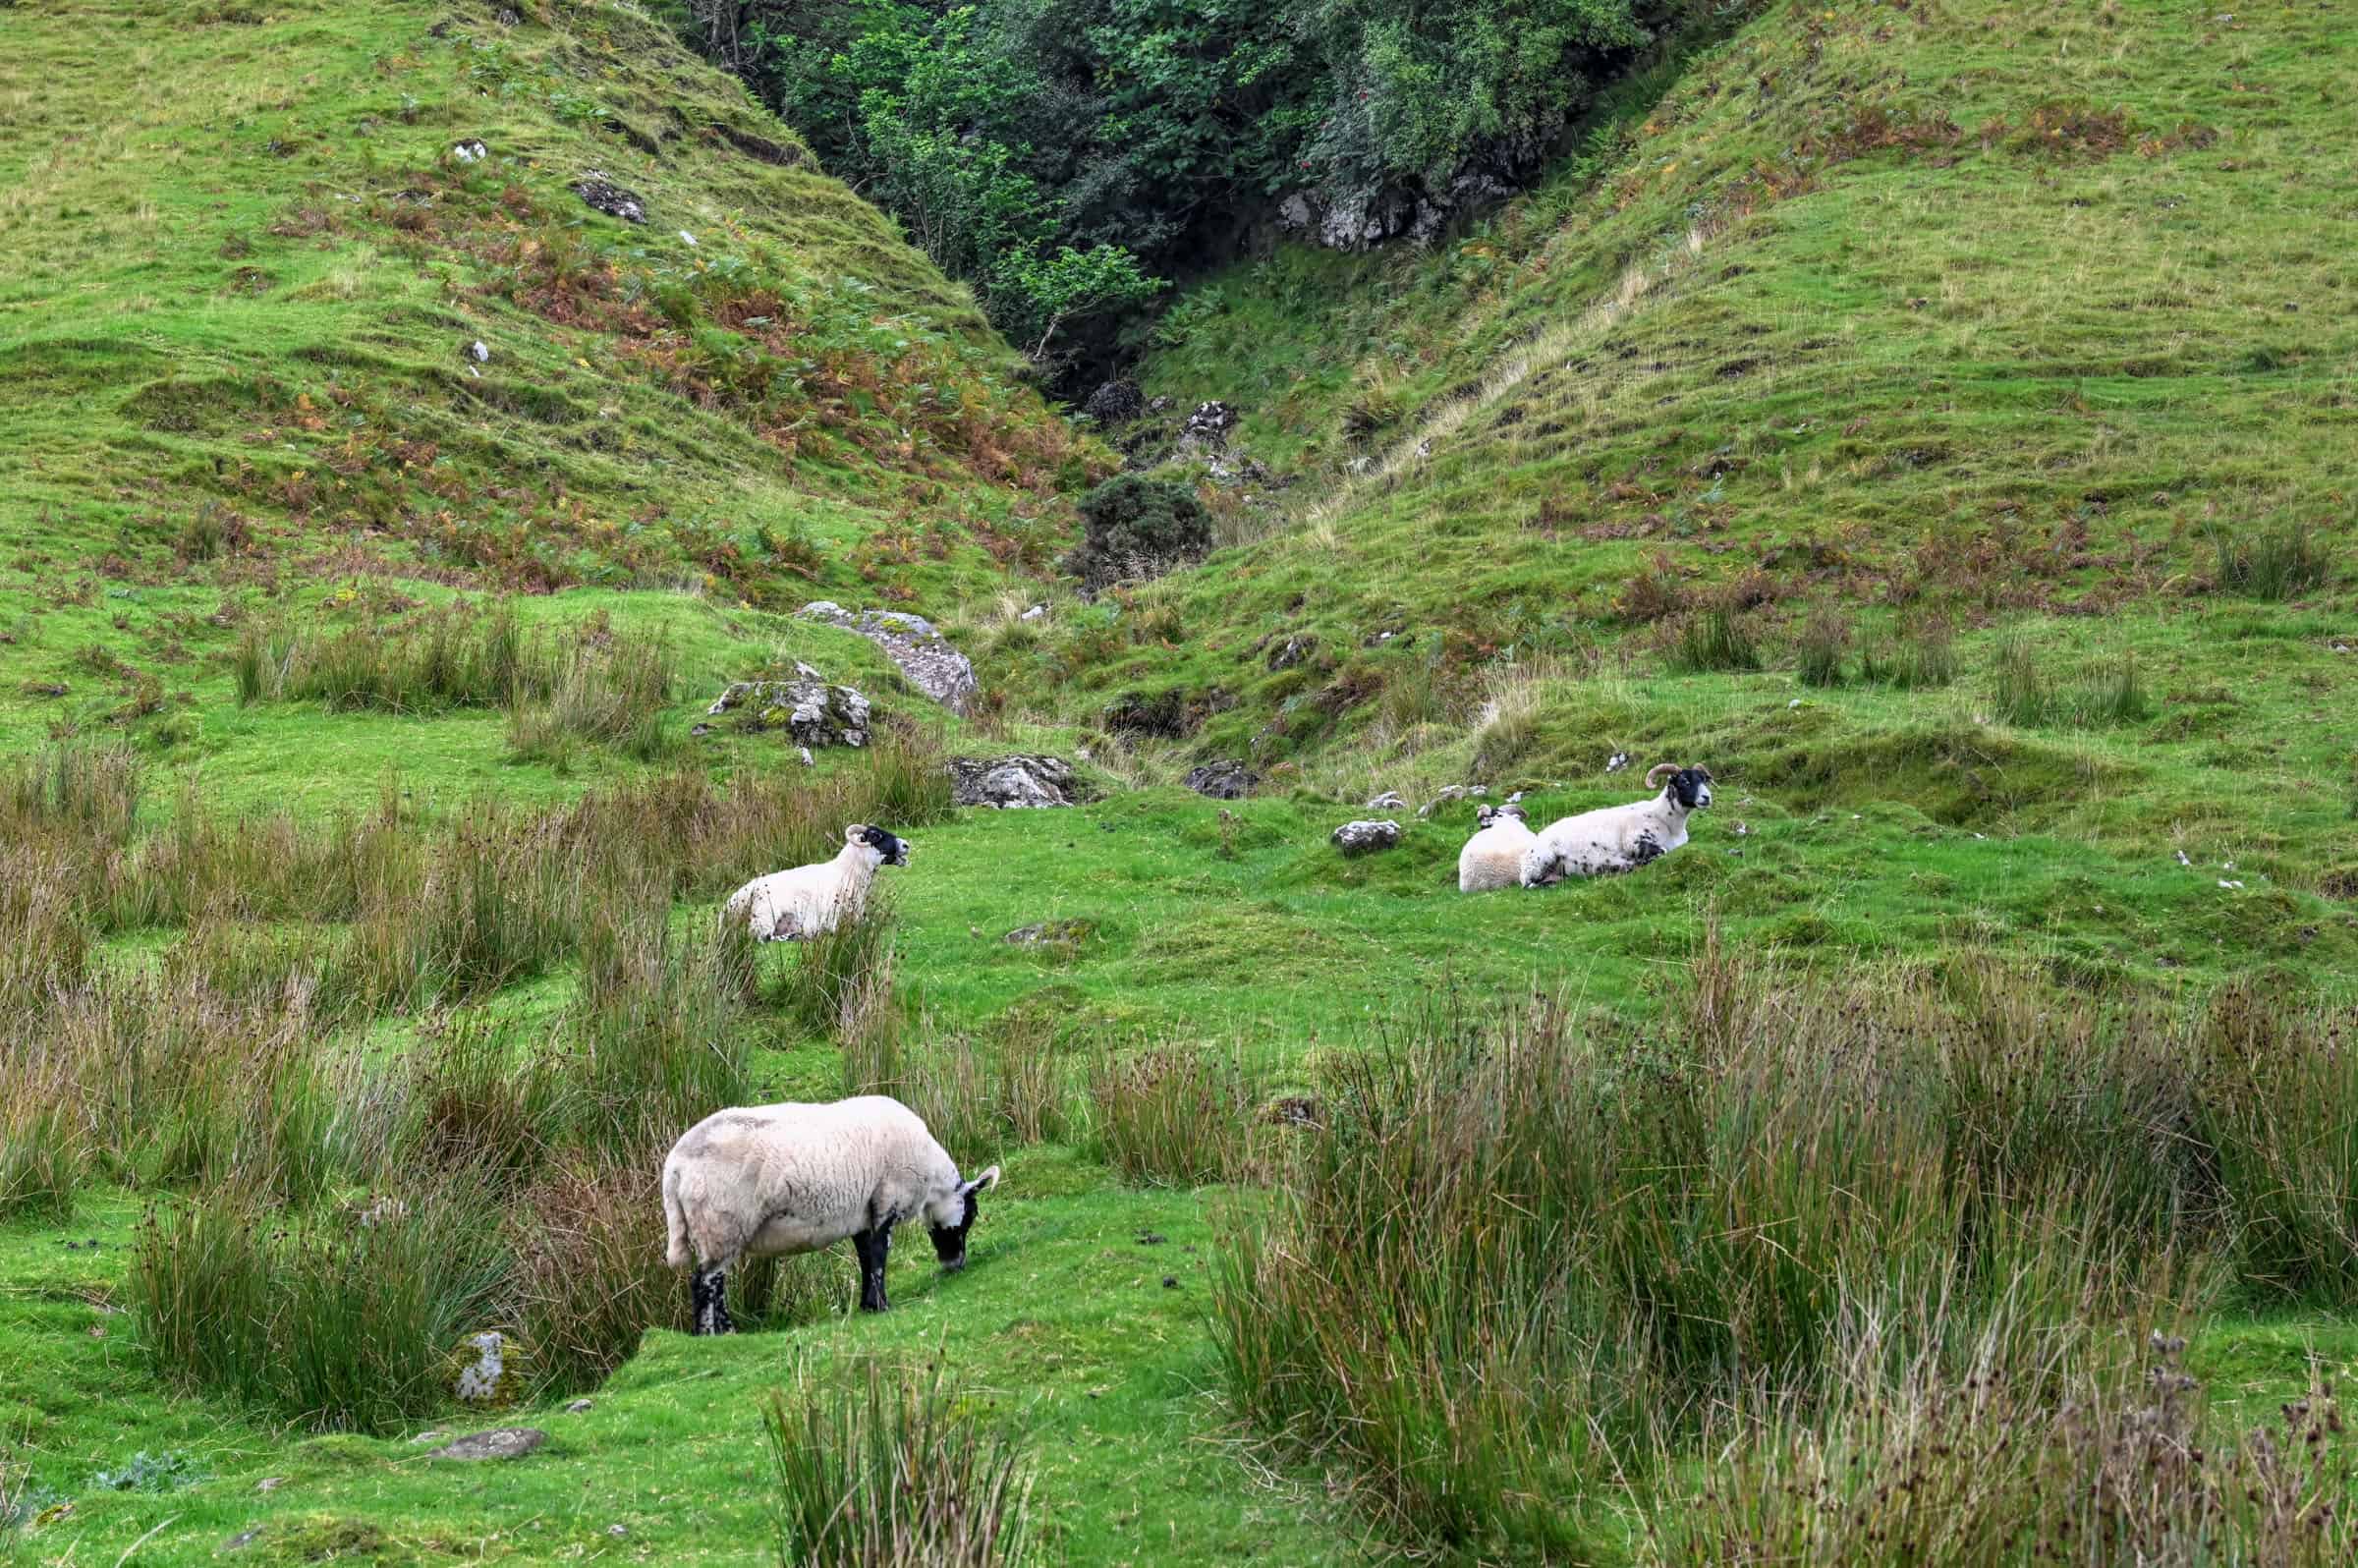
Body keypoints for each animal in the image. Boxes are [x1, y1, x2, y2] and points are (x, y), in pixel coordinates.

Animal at [660, 1089, 999, 1329]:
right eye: (971, 1215)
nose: (955, 1264)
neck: (930, 1176)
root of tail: (675, 1166)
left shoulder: (863, 1212)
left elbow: (865, 1256)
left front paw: (868, 1305)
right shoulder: (887, 1200)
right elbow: (879, 1255)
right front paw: (883, 1305)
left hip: (713, 1227)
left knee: (710, 1280)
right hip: (721, 1223)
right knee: (705, 1282)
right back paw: (717, 1333)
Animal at [716, 820, 910, 943]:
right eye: (876, 836)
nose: (906, 845)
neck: (847, 872)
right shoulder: (838, 919)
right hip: (765, 915)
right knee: (762, 937)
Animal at [1518, 763, 1725, 886]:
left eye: (1704, 779)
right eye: (1684, 781)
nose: (1706, 797)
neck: (1665, 820)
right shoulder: (1636, 842)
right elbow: (1661, 852)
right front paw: (1635, 864)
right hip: (1539, 862)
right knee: (1529, 883)